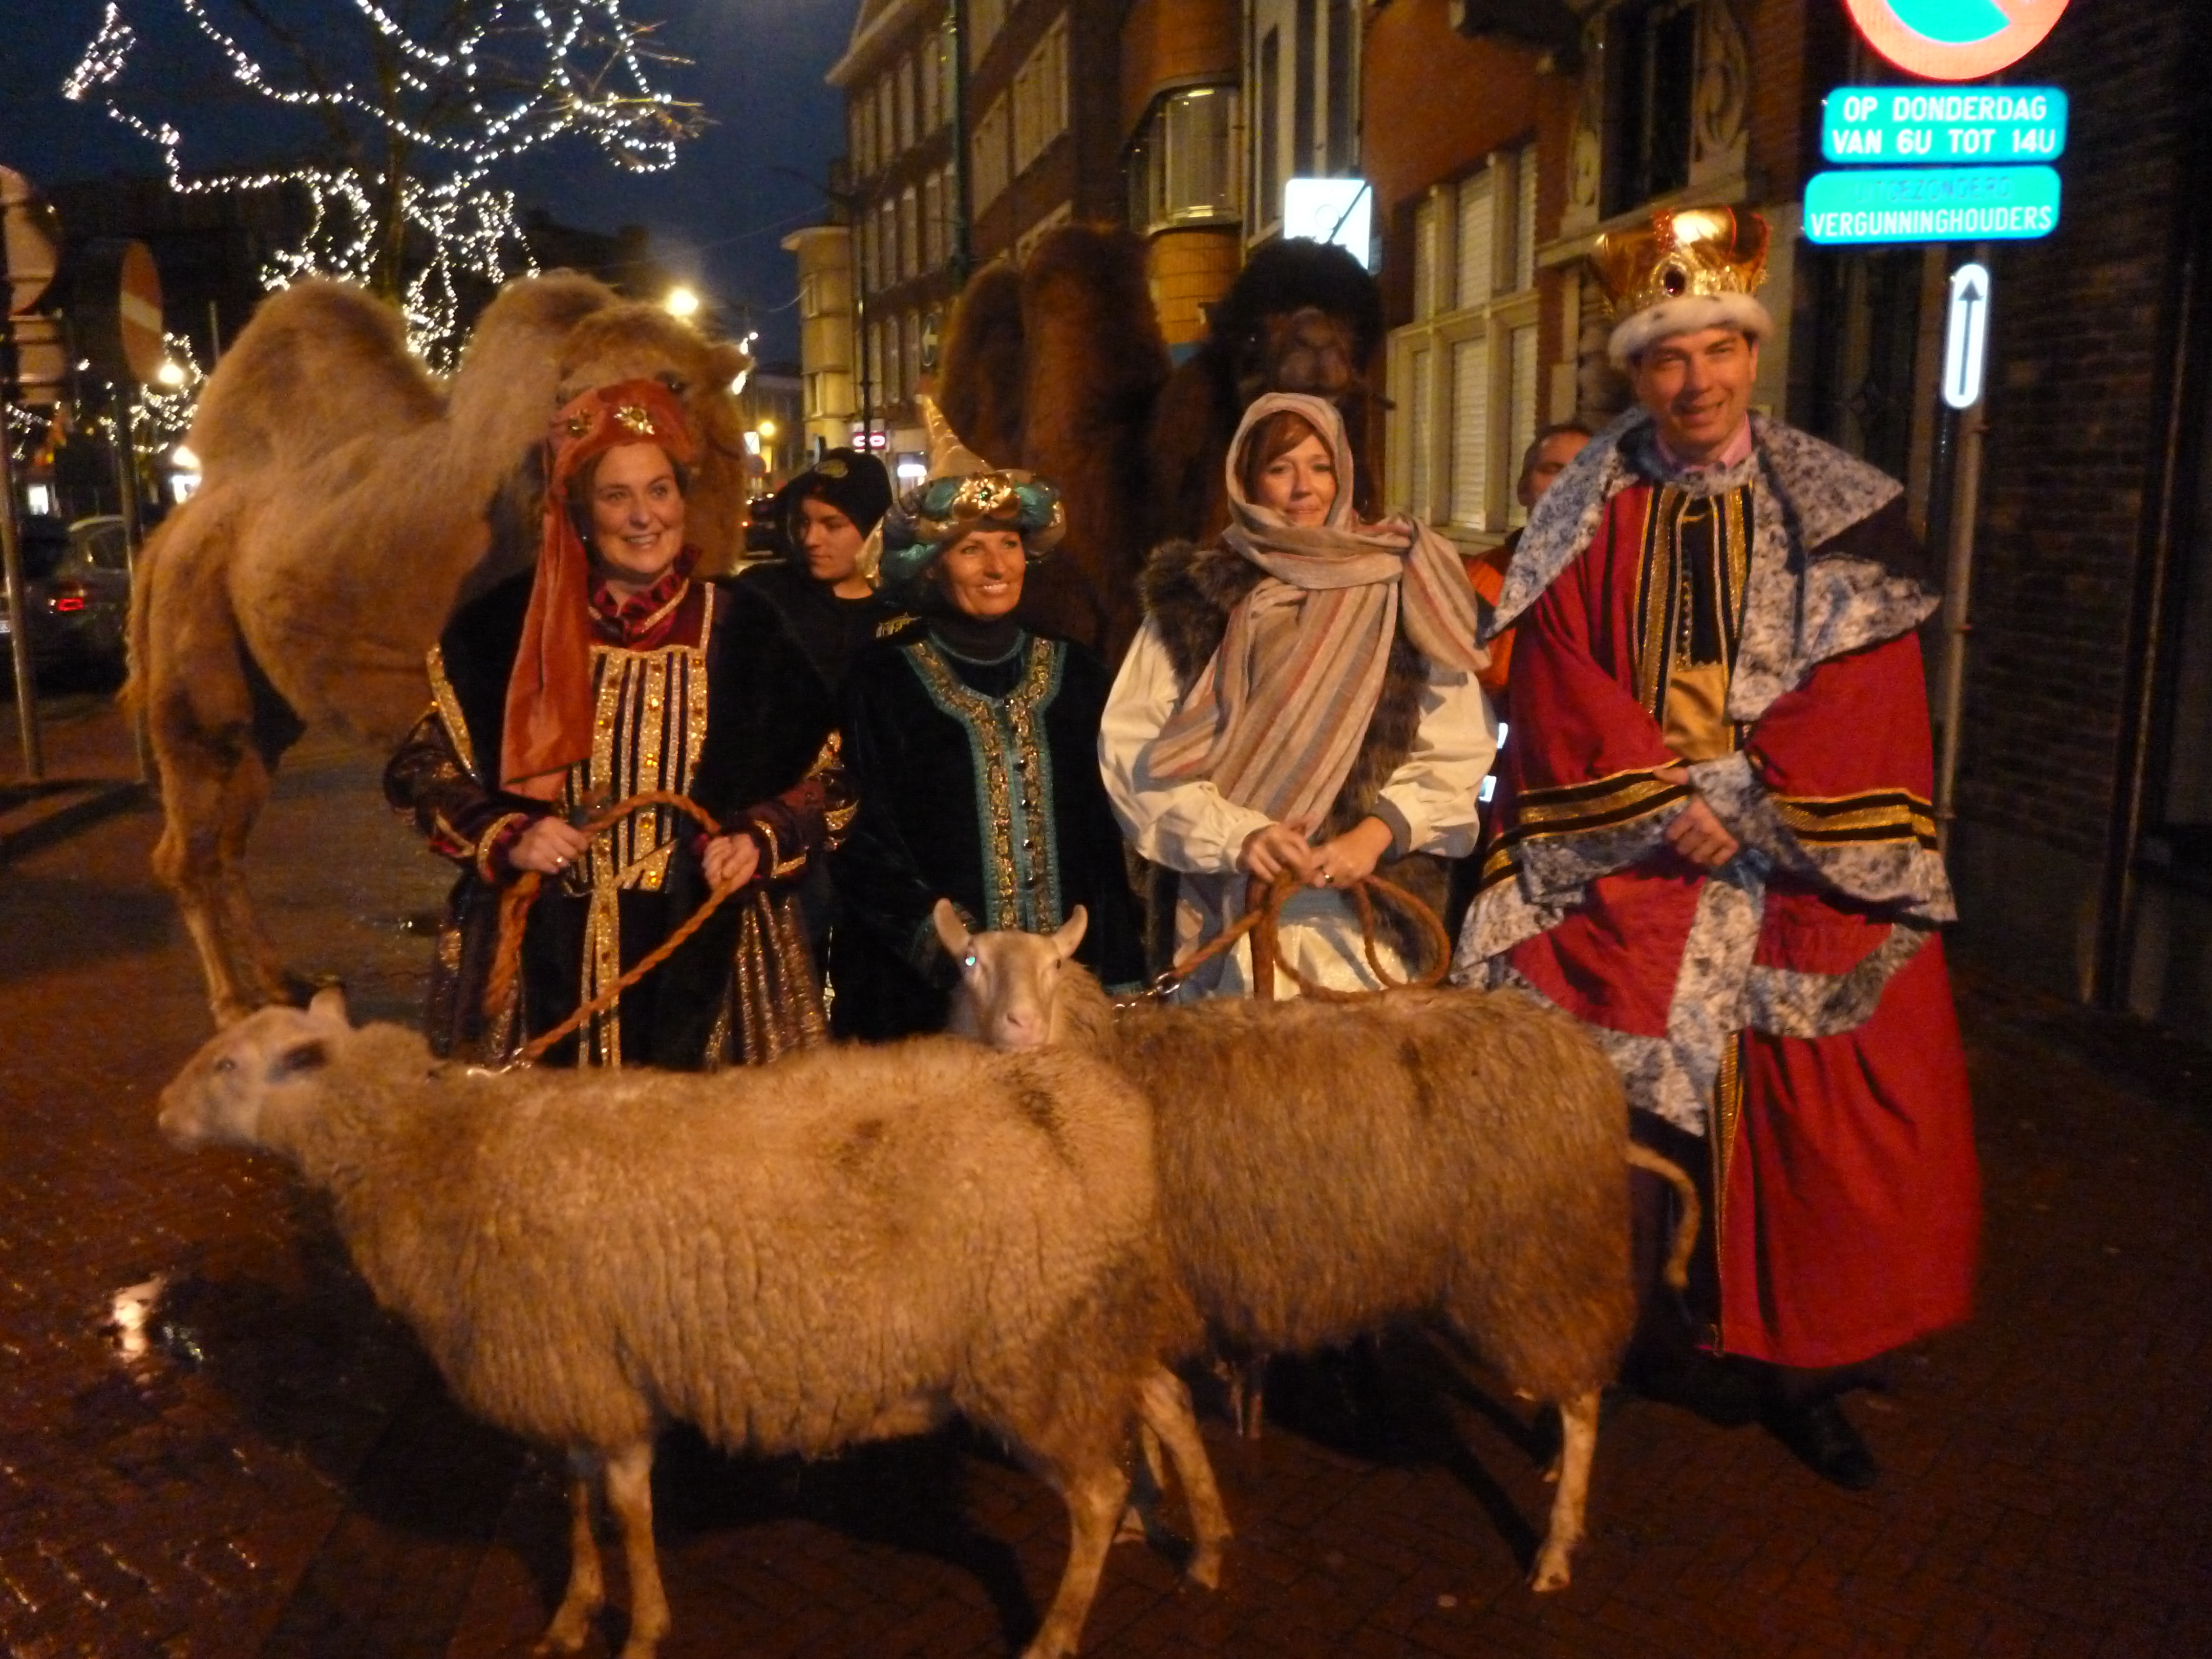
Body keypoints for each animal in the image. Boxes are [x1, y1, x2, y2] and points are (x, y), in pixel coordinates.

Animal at [138, 273, 761, 1026]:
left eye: (675, 382)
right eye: (565, 398)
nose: (610, 460)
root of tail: (168, 533)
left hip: (265, 714)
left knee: (229, 840)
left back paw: (288, 984)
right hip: (195, 653)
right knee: (190, 843)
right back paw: (235, 1005)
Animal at [160, 986, 1229, 1659]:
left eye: (228, 1063)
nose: (160, 1116)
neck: (432, 1149)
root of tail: (1095, 1109)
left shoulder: (594, 1383)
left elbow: (629, 1514)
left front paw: (639, 1630)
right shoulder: (580, 1379)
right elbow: (577, 1506)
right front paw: (575, 1612)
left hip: (1030, 1347)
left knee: (1095, 1493)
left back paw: (1058, 1631)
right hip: (1084, 1317)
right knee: (1165, 1398)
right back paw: (1206, 1546)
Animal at [933, 902, 1690, 1601]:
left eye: (1056, 964)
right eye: (969, 963)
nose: (1021, 1028)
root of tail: (1584, 1060)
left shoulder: (1130, 1291)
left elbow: (1167, 1417)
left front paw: (1199, 1544)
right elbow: (1147, 1420)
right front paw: (1148, 1509)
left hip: (1535, 1259)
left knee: (1583, 1399)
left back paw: (1558, 1542)